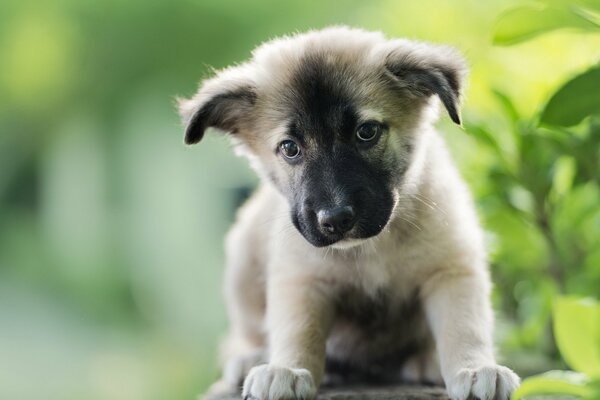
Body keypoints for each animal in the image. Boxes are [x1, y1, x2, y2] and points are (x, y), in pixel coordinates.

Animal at [178, 26, 520, 398]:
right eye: (290, 148)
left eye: (366, 132)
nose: (336, 219)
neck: (371, 249)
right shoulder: (302, 278)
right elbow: (299, 329)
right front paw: (287, 369)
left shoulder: (451, 268)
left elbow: (464, 325)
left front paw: (475, 369)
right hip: (242, 260)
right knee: (241, 334)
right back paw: (251, 357)